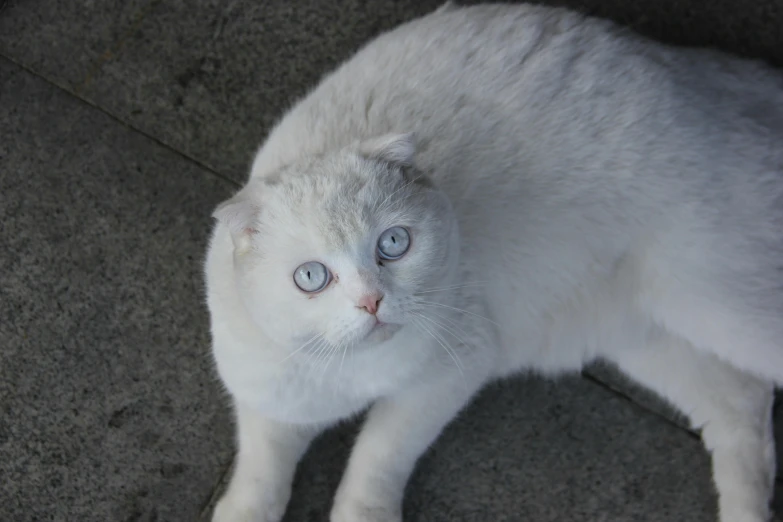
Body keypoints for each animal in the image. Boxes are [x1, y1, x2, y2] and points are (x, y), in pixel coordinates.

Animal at [204, 2, 783, 516]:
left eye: (393, 244)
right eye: (311, 276)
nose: (371, 302)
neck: (356, 372)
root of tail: (704, 76)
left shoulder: (445, 377)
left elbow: (378, 459)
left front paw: (363, 513)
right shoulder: (272, 403)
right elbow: (261, 475)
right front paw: (242, 512)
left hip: (723, 307)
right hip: (648, 334)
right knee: (744, 408)